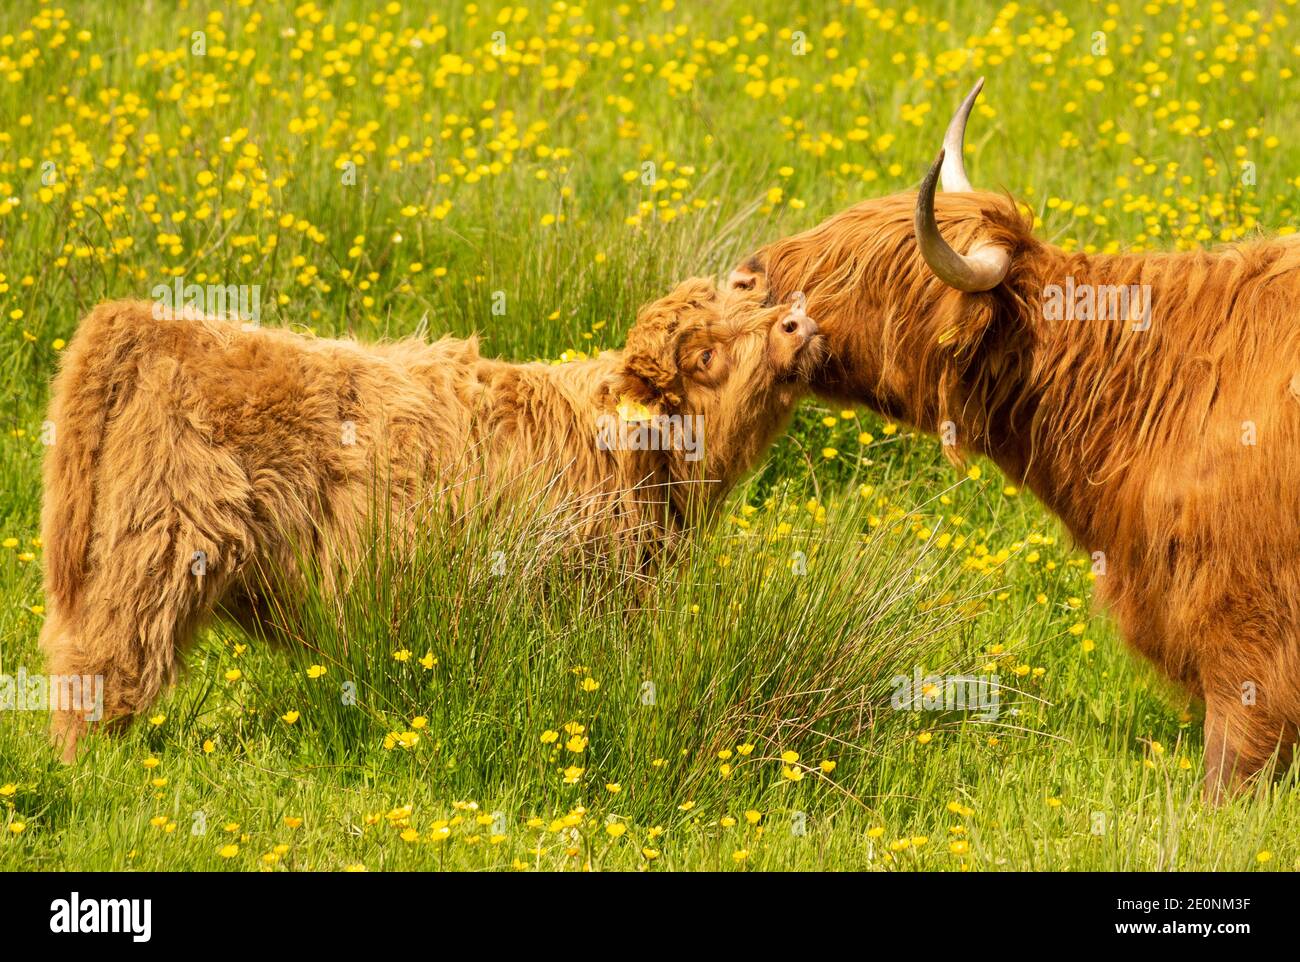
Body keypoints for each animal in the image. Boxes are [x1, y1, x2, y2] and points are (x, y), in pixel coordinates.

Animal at [40, 278, 821, 759]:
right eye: (706, 354)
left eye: (755, 305)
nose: (798, 322)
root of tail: (145, 320)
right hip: (158, 550)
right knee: (103, 665)